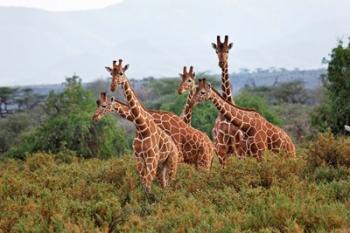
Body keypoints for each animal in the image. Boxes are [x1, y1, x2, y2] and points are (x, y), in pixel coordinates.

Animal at [104, 60, 180, 193]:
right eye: (111, 73)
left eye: (121, 72)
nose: (112, 87)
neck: (141, 127)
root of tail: (175, 147)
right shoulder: (139, 158)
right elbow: (144, 181)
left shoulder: (152, 158)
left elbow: (147, 183)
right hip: (162, 166)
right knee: (164, 184)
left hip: (172, 162)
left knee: (170, 184)